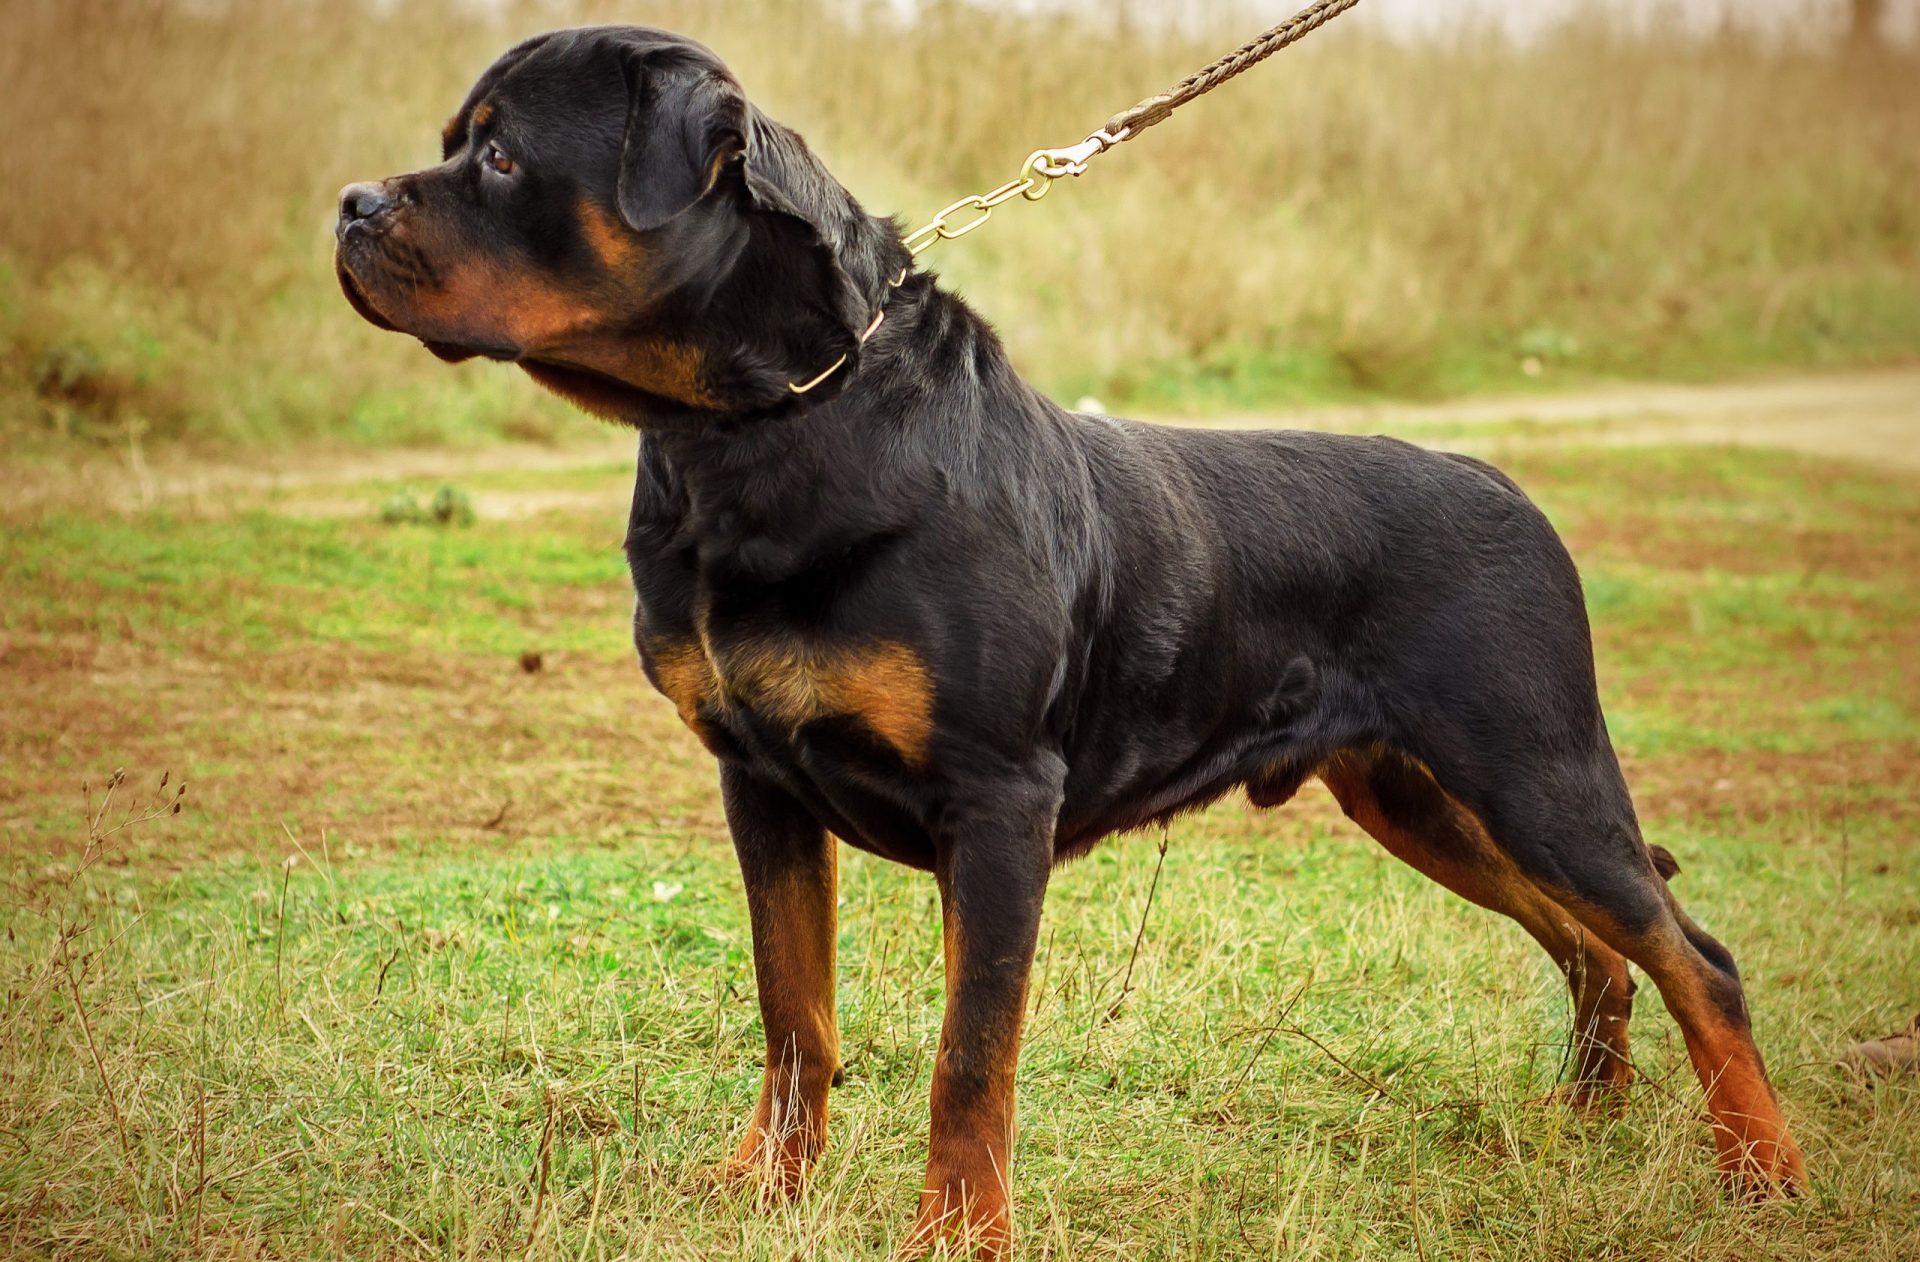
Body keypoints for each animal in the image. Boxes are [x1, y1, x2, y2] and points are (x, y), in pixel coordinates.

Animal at [337, 24, 1804, 1252]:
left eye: (504, 155)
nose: (351, 203)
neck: (761, 428)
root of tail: (1512, 490)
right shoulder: (760, 780)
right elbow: (794, 1013)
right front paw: (765, 1190)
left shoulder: (997, 800)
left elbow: (969, 1053)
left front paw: (954, 1232)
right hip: (1423, 796)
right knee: (1598, 949)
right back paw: (1585, 1129)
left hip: (1533, 771)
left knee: (1694, 955)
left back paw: (1764, 1169)